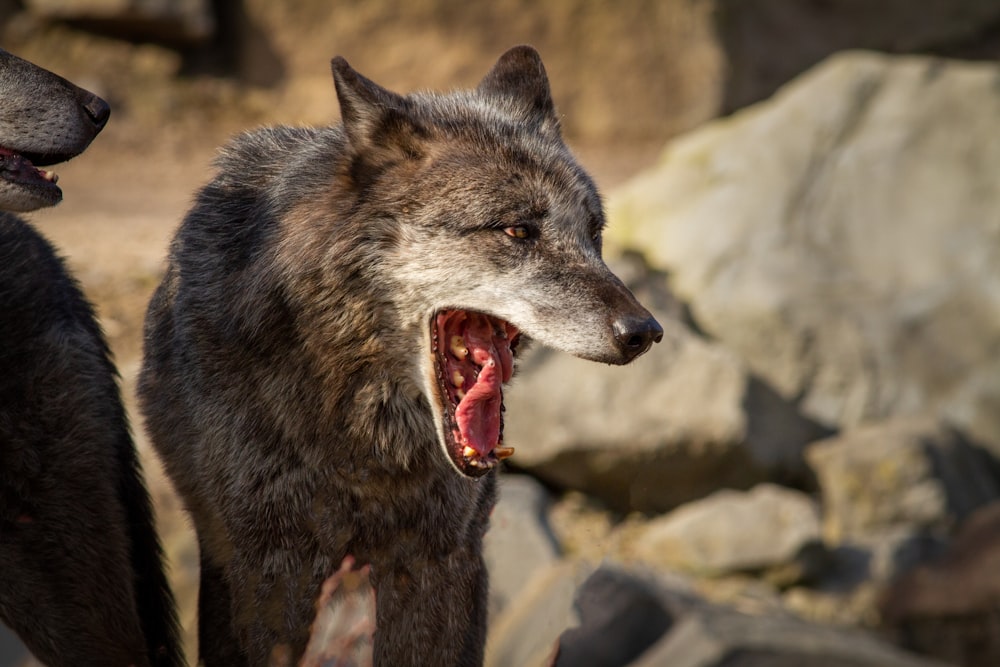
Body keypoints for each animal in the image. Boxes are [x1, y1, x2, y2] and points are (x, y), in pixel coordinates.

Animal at [139, 44, 656, 664]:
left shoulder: (438, 561)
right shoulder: (266, 569)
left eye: (594, 234)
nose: (645, 331)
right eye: (517, 231)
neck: (363, 442)